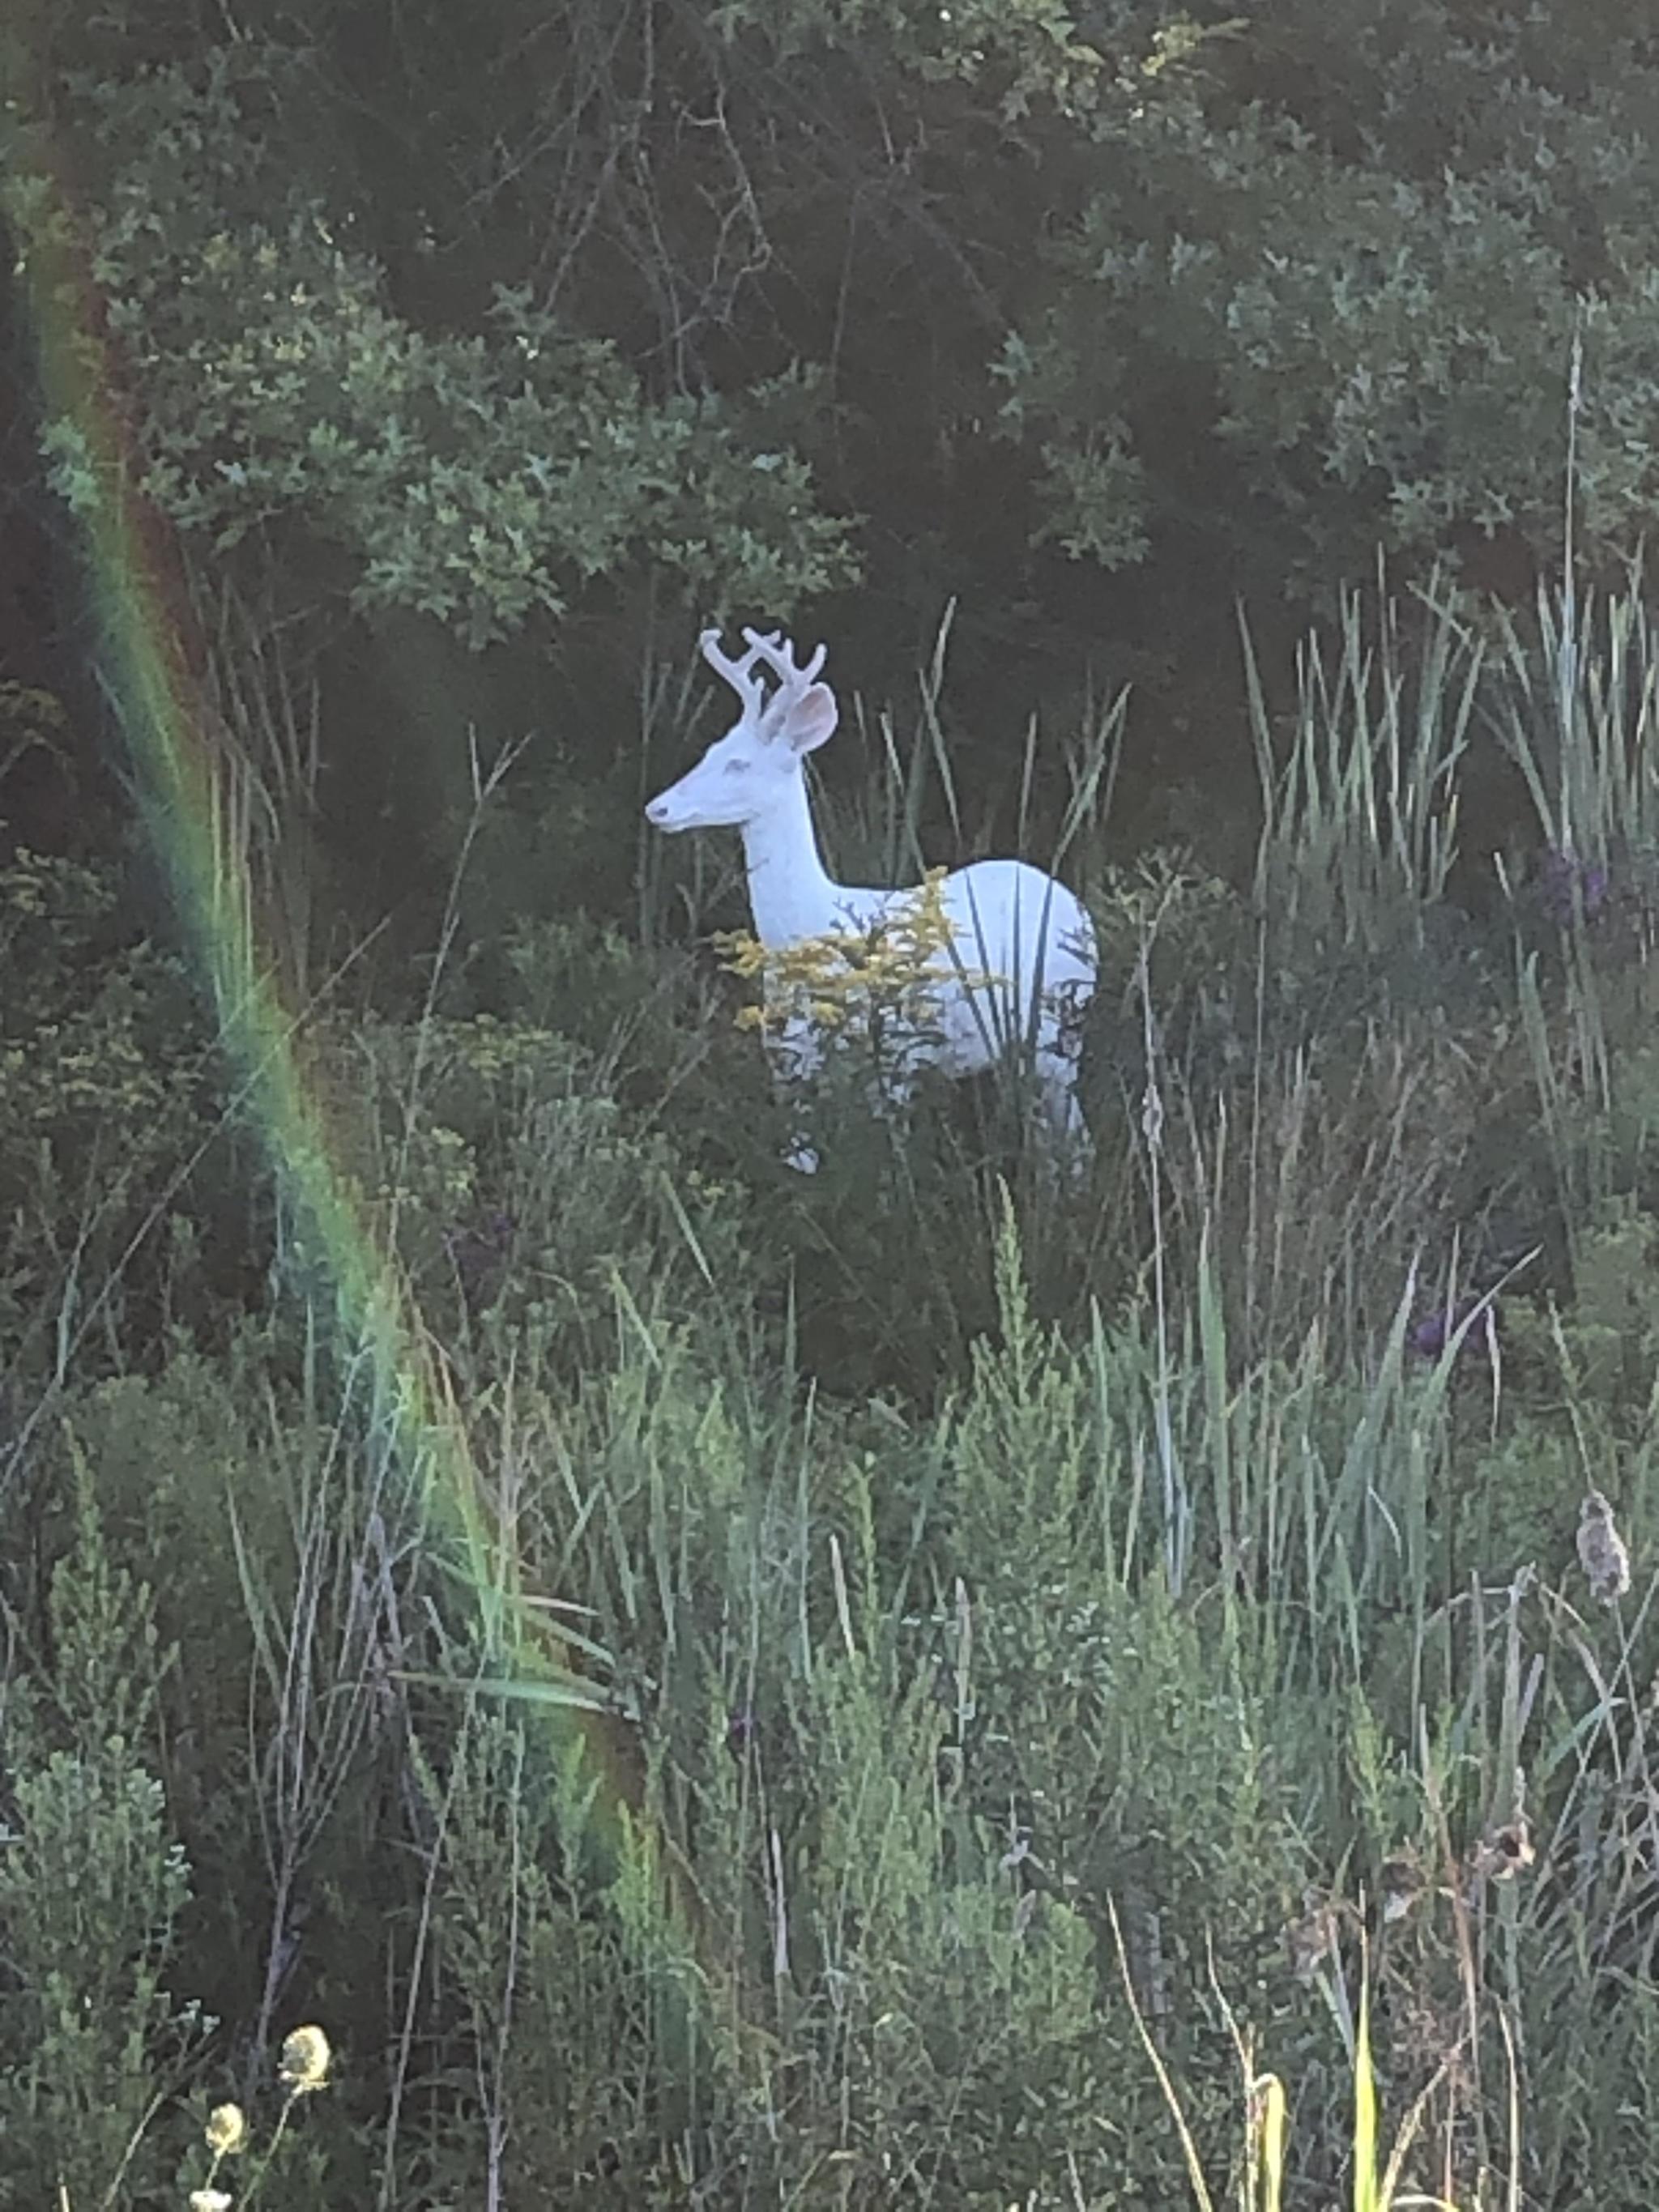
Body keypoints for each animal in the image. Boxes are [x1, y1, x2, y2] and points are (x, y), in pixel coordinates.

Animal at [641, 628, 1097, 1167]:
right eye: (710, 751)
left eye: (738, 763)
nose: (658, 808)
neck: (807, 928)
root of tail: (1077, 908)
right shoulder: (787, 1054)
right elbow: (801, 1157)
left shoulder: (897, 1055)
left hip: (1059, 1031)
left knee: (1075, 1139)